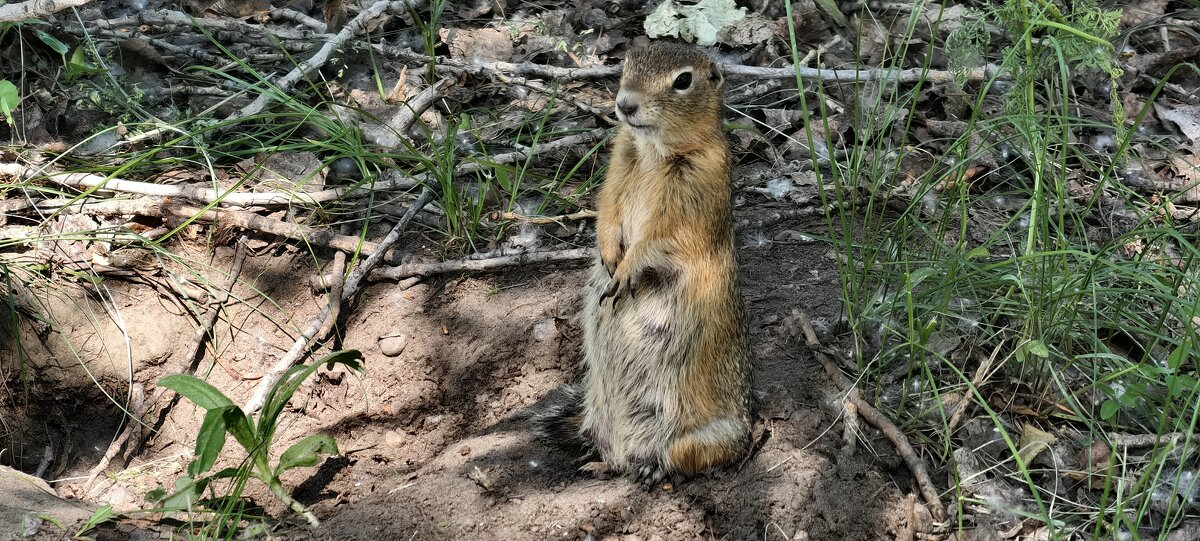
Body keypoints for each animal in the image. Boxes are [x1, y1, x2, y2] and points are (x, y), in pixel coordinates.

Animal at [537, 41, 748, 482]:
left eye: (683, 80)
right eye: (628, 62)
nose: (624, 104)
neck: (652, 150)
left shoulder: (697, 186)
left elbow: (663, 237)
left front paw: (626, 268)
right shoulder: (618, 163)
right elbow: (606, 209)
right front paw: (608, 257)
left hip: (702, 438)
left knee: (676, 458)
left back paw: (652, 469)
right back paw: (598, 463)